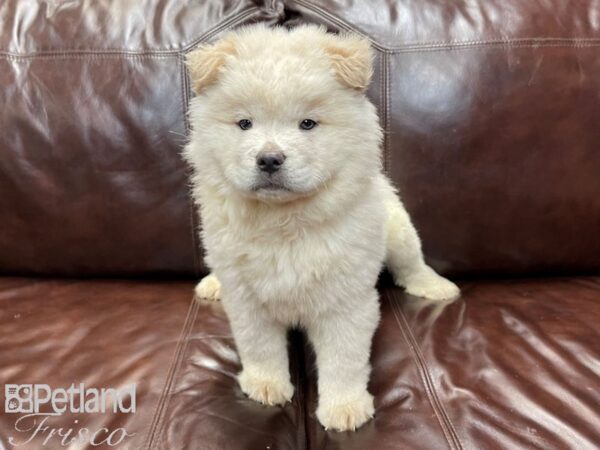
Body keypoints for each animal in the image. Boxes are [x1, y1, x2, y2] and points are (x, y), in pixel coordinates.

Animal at [183, 24, 460, 432]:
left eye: (308, 124)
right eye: (244, 124)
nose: (269, 159)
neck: (283, 221)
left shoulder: (345, 299)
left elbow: (343, 358)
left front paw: (344, 410)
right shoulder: (247, 298)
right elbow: (259, 345)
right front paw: (266, 386)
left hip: (397, 230)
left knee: (412, 264)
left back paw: (437, 288)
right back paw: (211, 284)